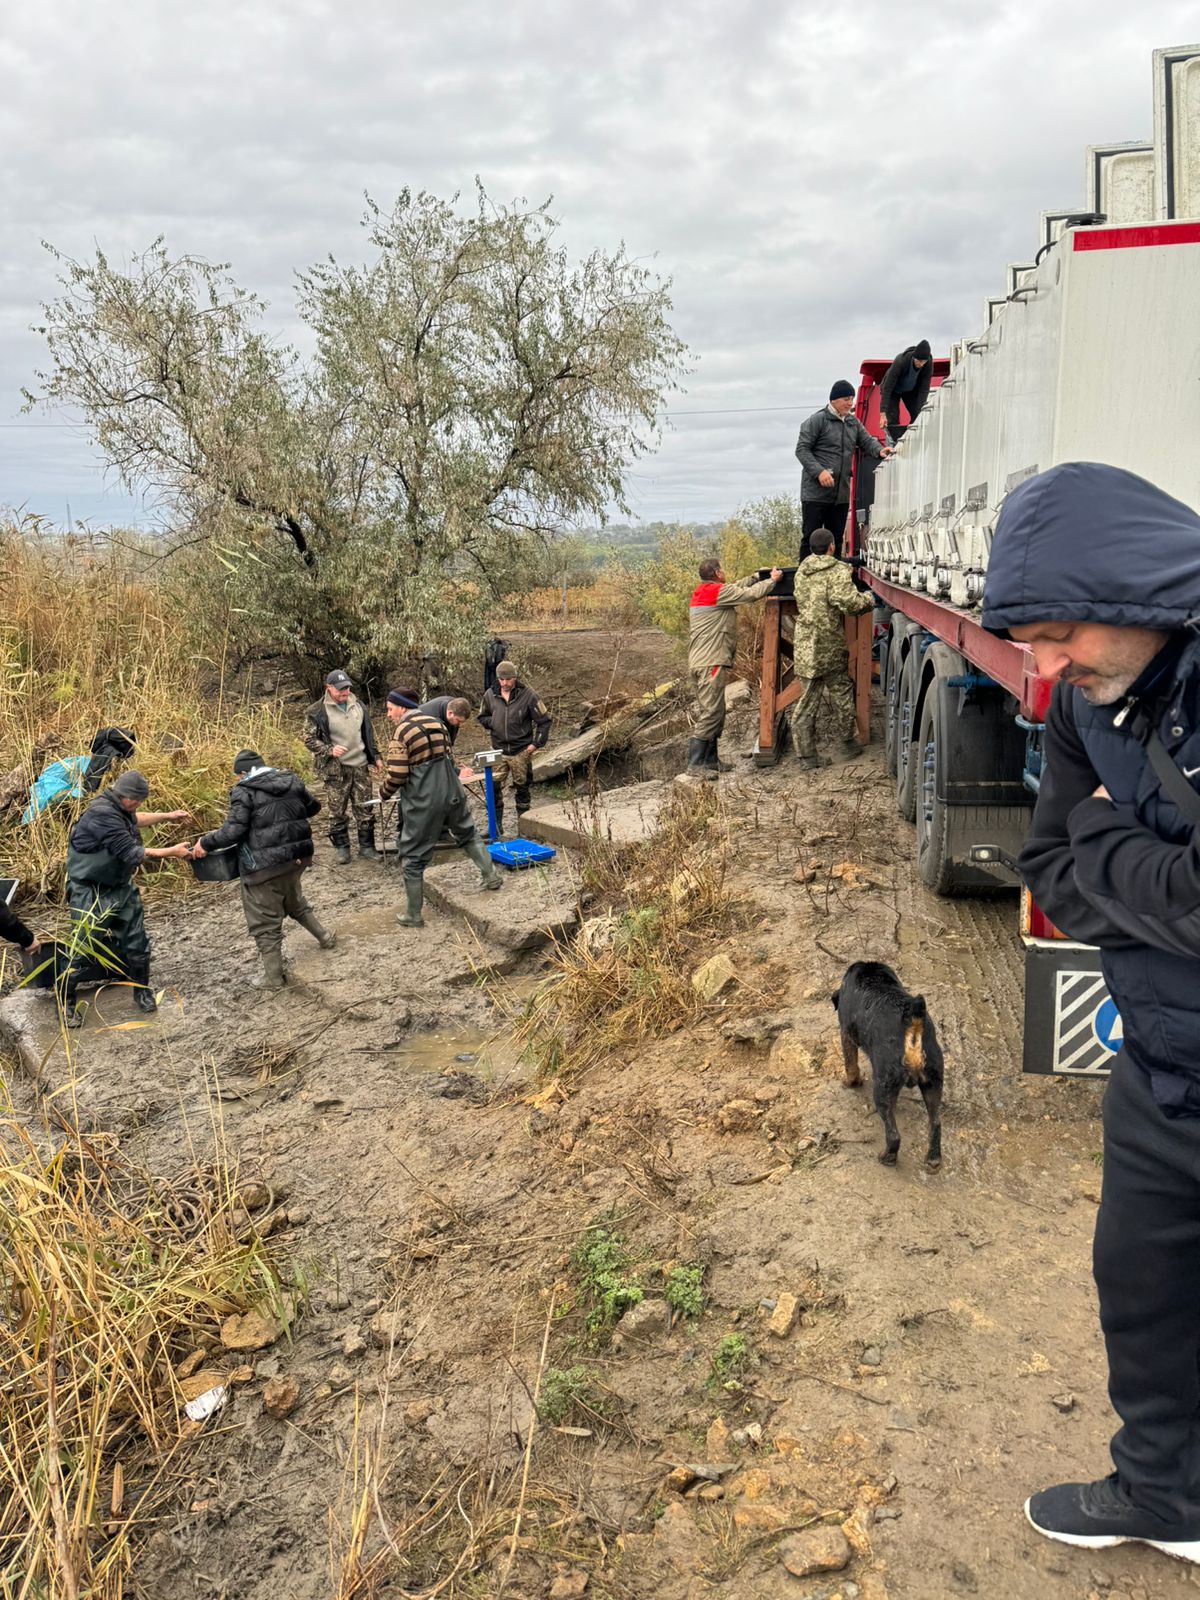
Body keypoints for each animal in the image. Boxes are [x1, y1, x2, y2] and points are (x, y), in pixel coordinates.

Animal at [832, 953, 947, 1171]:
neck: (874, 976)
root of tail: (912, 1020)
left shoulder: (846, 1033)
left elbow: (850, 1064)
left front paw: (850, 1082)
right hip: (933, 1082)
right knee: (936, 1123)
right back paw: (933, 1159)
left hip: (883, 1087)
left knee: (893, 1135)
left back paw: (887, 1157)